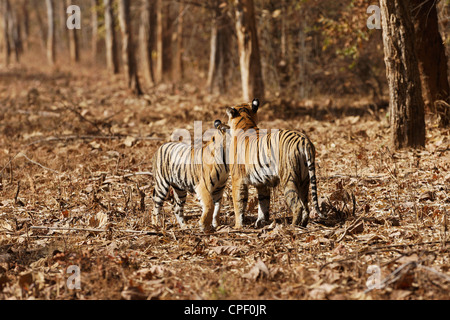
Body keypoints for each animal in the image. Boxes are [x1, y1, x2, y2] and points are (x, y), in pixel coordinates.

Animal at [224, 99, 324, 229]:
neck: (245, 121)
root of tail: (304, 140)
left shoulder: (237, 180)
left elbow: (238, 204)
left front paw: (237, 226)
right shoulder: (262, 183)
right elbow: (264, 203)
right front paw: (261, 222)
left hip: (288, 179)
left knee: (298, 205)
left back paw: (292, 226)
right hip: (305, 180)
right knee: (306, 205)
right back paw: (303, 224)